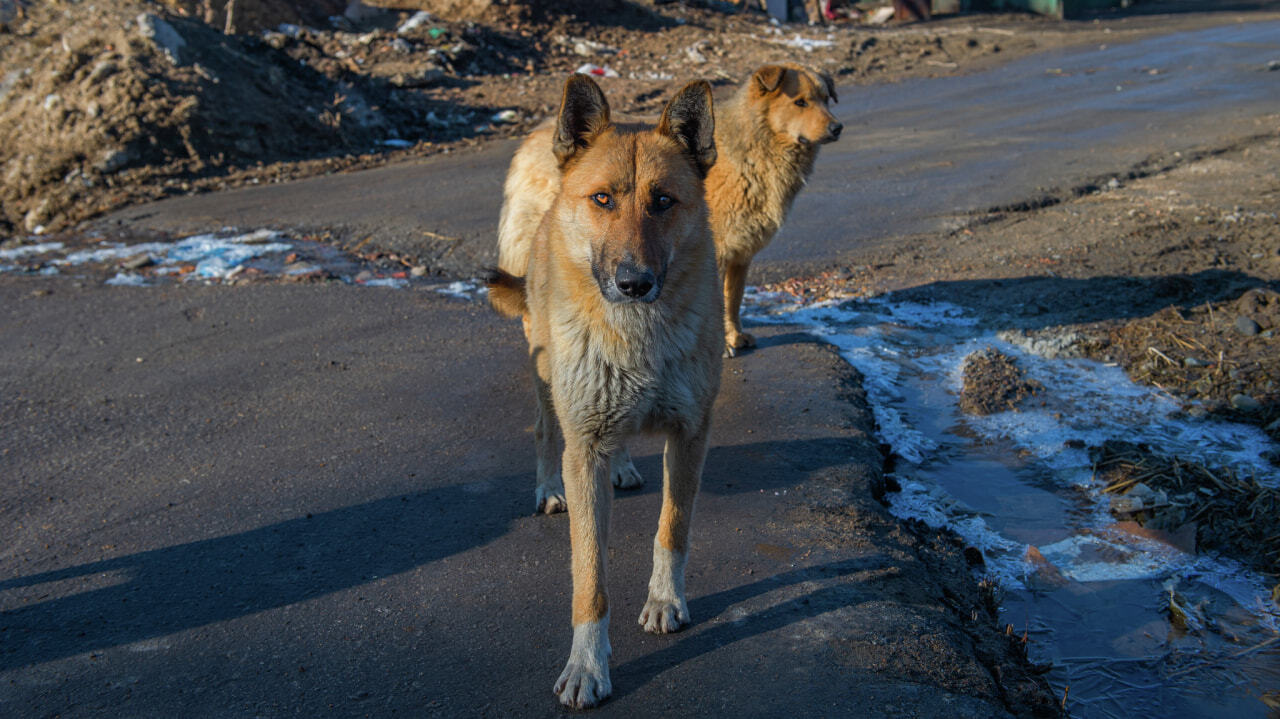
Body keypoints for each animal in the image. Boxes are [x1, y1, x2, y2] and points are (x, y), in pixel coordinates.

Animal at [483, 72, 721, 706]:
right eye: (603, 200)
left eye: (662, 201)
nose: (634, 283)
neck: (636, 337)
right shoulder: (584, 447)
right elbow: (589, 576)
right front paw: (588, 665)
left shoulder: (690, 435)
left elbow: (673, 528)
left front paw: (665, 600)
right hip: (547, 380)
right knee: (545, 431)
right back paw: (548, 487)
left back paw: (625, 467)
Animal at [711, 63, 839, 353]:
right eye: (800, 102)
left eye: (826, 99)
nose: (837, 128)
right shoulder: (719, 250)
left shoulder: (741, 253)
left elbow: (733, 299)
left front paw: (734, 336)